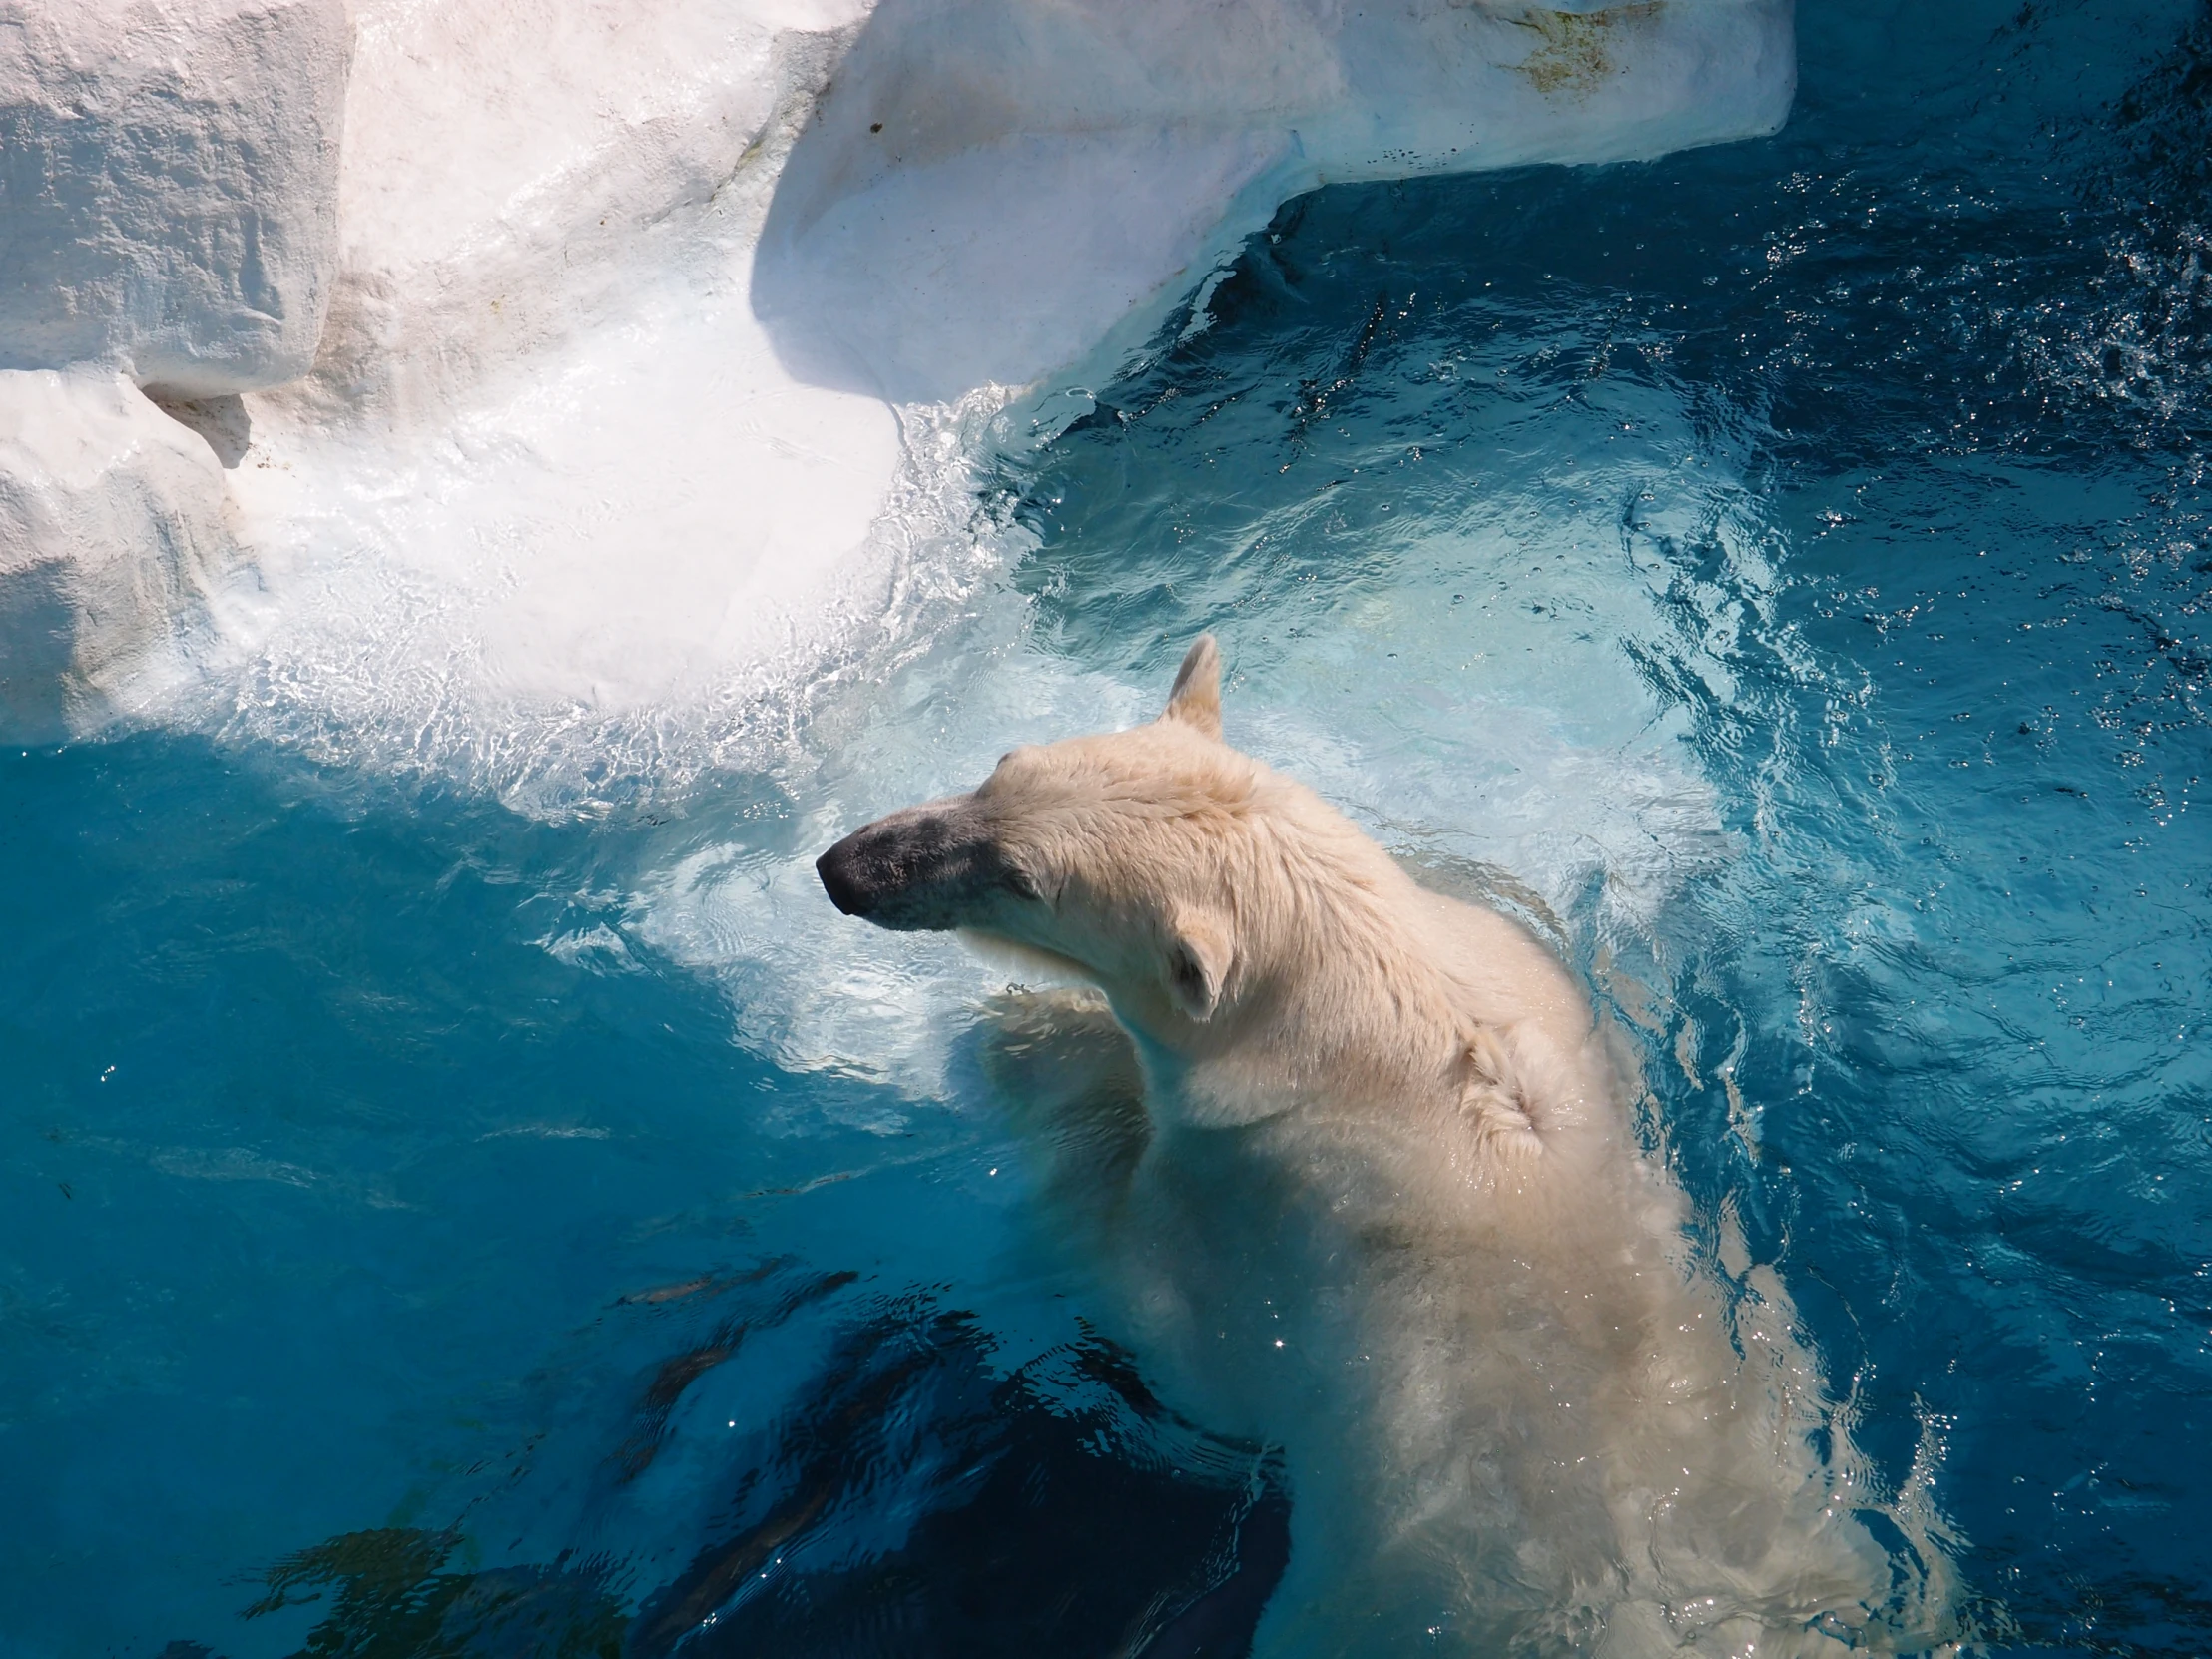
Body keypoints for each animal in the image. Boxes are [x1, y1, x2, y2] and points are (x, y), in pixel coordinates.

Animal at [818, 641, 1954, 1659]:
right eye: (997, 769)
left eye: (1018, 877)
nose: (845, 869)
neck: (1378, 1033)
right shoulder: (1525, 974)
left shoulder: (1253, 1207)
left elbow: (1162, 1316)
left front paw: (1020, 1038)